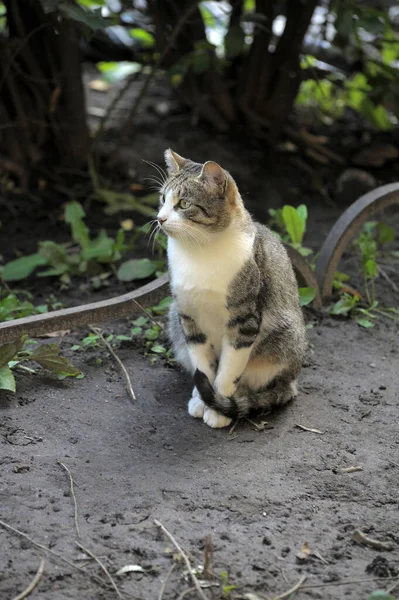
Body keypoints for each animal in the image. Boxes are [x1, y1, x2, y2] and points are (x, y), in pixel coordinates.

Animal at [158, 150, 308, 432]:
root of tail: (292, 379)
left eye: (183, 204)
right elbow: (203, 365)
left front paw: (219, 407)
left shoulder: (244, 321)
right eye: (162, 199)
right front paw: (204, 399)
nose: (159, 218)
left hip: (285, 336)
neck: (199, 253)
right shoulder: (188, 317)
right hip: (173, 317)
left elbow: (229, 370)